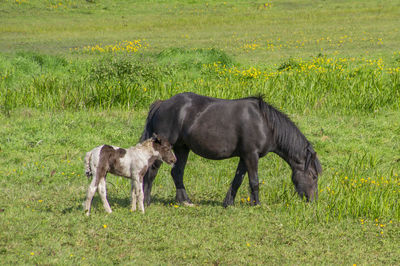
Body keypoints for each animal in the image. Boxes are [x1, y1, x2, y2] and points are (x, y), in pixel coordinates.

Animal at [140, 92, 322, 207]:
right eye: (313, 176)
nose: (313, 201)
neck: (265, 124)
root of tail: (162, 104)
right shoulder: (251, 155)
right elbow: (254, 181)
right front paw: (257, 204)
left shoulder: (244, 157)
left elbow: (238, 180)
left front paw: (228, 203)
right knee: (153, 170)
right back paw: (147, 201)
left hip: (182, 148)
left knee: (177, 172)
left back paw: (185, 201)